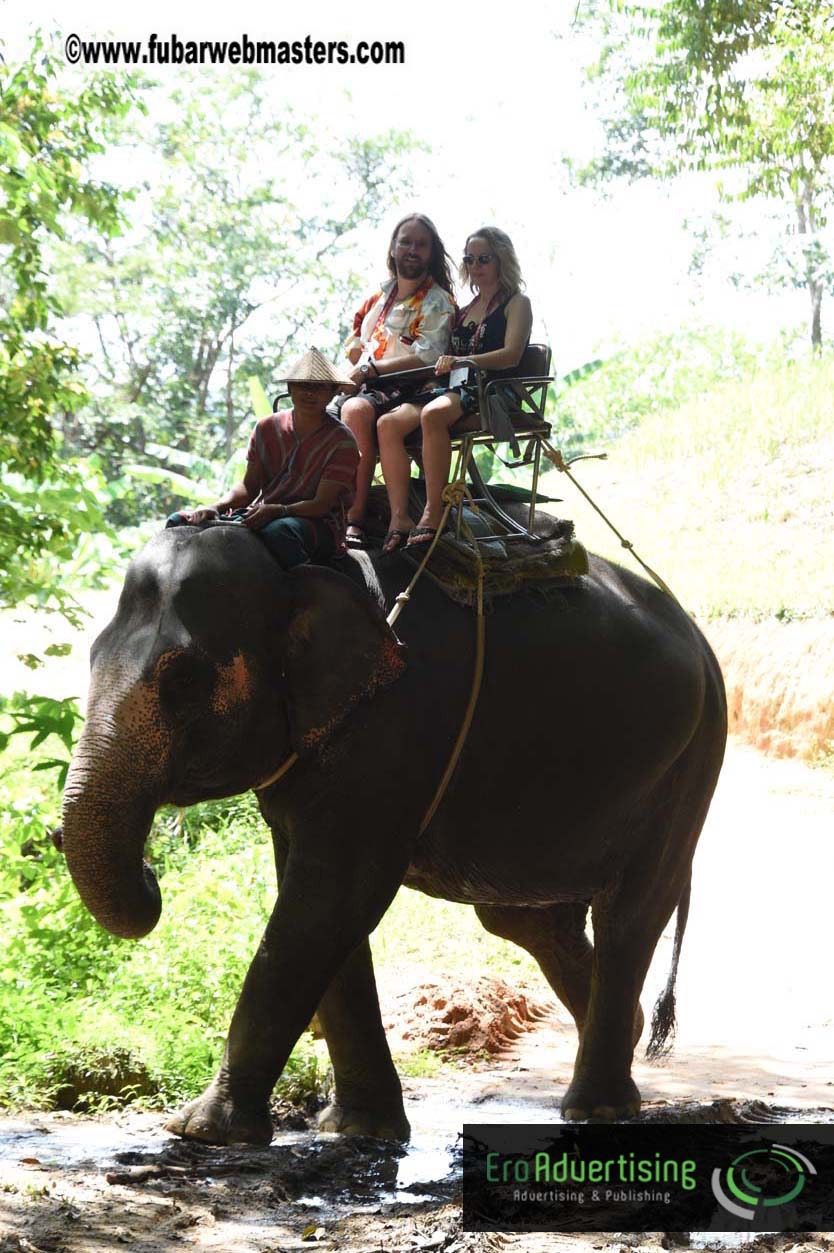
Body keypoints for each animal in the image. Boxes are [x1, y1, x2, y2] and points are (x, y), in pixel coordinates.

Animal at [60, 514, 727, 1145]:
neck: (298, 567)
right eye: (89, 658)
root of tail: (698, 636)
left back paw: (596, 1109)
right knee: (525, 919)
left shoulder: (396, 723)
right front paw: (358, 1130)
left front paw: (202, 1130)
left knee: (631, 911)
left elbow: (330, 898)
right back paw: (625, 1033)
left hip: (691, 758)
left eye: (184, 678)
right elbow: (321, 904)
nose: (152, 872)